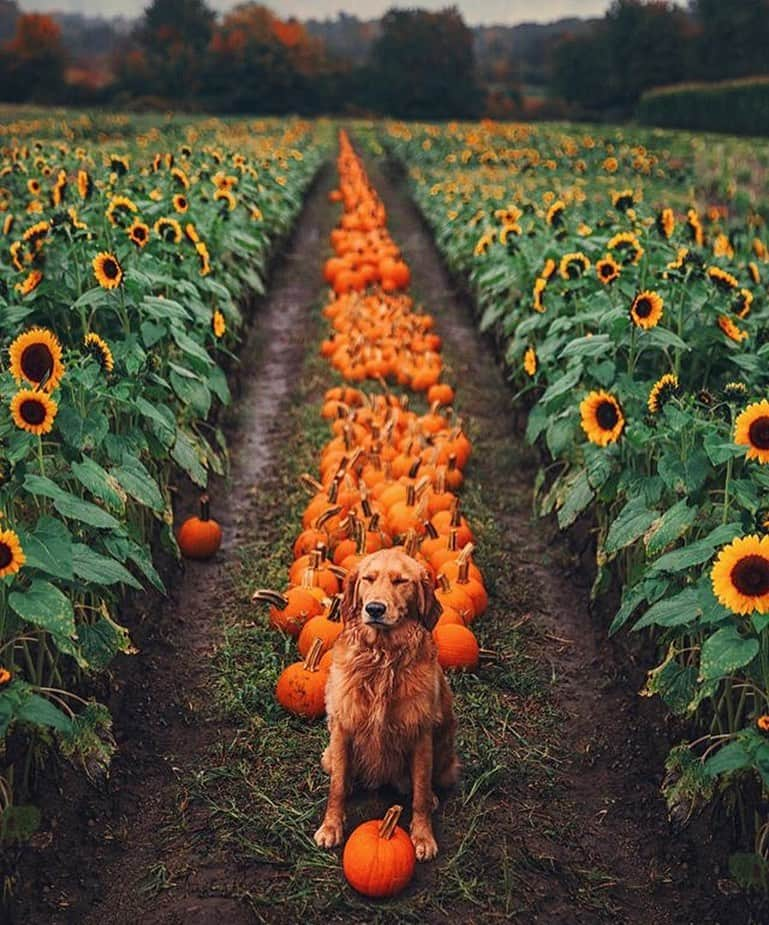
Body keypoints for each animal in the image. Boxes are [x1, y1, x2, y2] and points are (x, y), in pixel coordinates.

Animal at [312, 548, 456, 860]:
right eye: (368, 578)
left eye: (401, 581)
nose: (375, 609)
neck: (382, 657)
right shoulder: (342, 728)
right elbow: (336, 788)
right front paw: (331, 827)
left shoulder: (420, 734)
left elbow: (420, 793)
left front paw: (423, 836)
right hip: (328, 756)